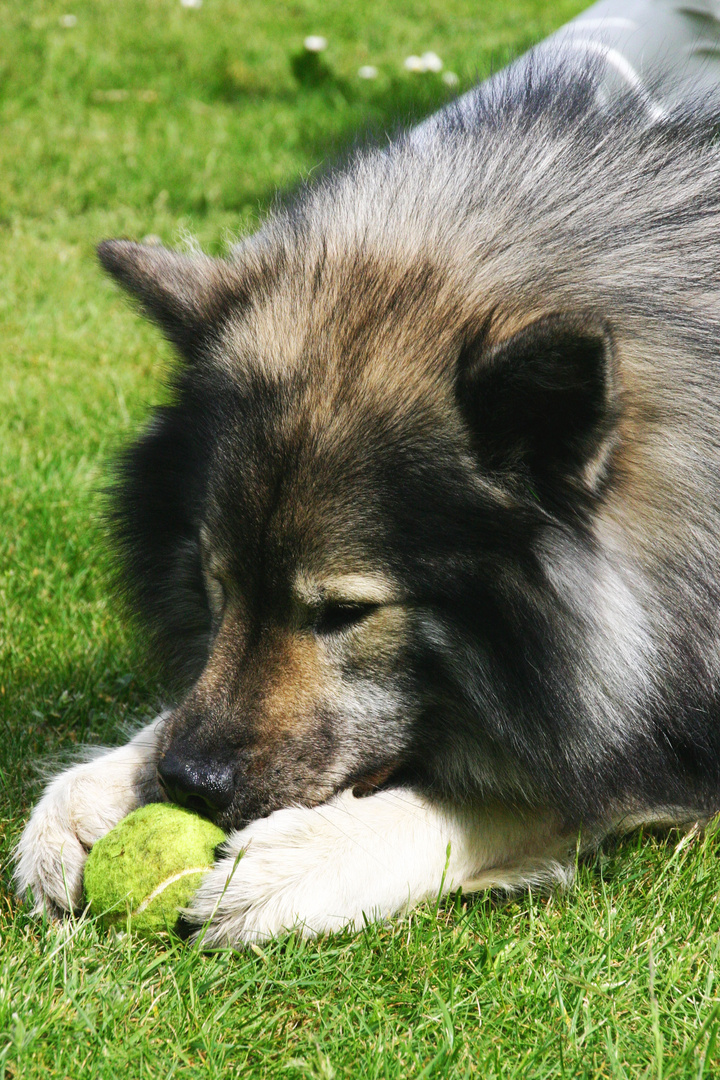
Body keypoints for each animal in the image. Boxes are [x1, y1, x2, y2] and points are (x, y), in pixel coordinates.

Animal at [15, 54, 720, 941]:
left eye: (346, 613)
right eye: (217, 584)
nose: (190, 784)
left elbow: (524, 789)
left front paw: (304, 858)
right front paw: (92, 791)